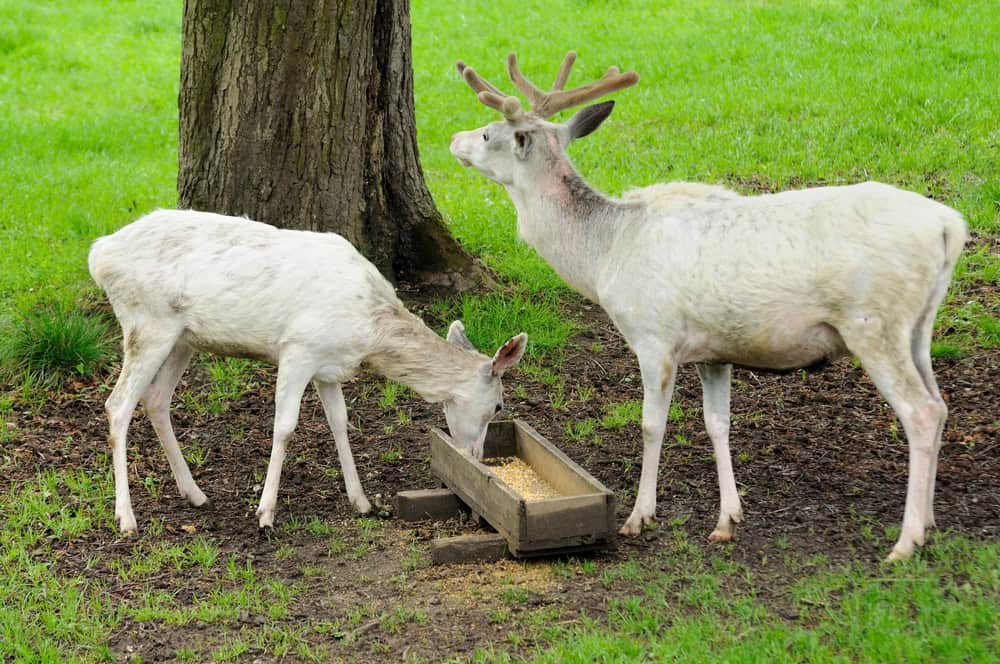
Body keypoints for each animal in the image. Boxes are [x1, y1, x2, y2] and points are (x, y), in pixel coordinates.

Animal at [88, 209, 527, 535]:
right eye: (499, 405)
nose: (479, 458)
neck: (369, 332)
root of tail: (98, 254)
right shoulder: (298, 348)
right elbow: (285, 426)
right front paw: (265, 514)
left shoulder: (328, 367)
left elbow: (340, 422)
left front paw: (362, 502)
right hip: (147, 324)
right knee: (117, 406)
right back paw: (126, 519)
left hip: (183, 339)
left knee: (156, 400)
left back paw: (195, 493)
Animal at [450, 51, 967, 561]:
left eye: (488, 133)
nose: (454, 139)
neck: (604, 256)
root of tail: (950, 226)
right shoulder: (714, 351)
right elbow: (717, 424)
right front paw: (727, 520)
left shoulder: (654, 337)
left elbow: (651, 424)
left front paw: (639, 516)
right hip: (918, 327)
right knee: (940, 404)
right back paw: (929, 522)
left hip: (872, 322)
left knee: (921, 411)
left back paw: (906, 541)